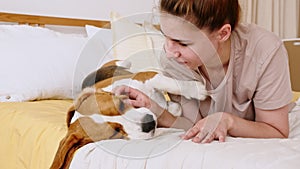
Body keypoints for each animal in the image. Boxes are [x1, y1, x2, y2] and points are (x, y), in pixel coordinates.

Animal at [51, 60, 206, 168]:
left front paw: (196, 89)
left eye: (120, 104)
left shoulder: (144, 77)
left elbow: (168, 82)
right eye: (115, 132)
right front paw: (173, 107)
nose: (149, 123)